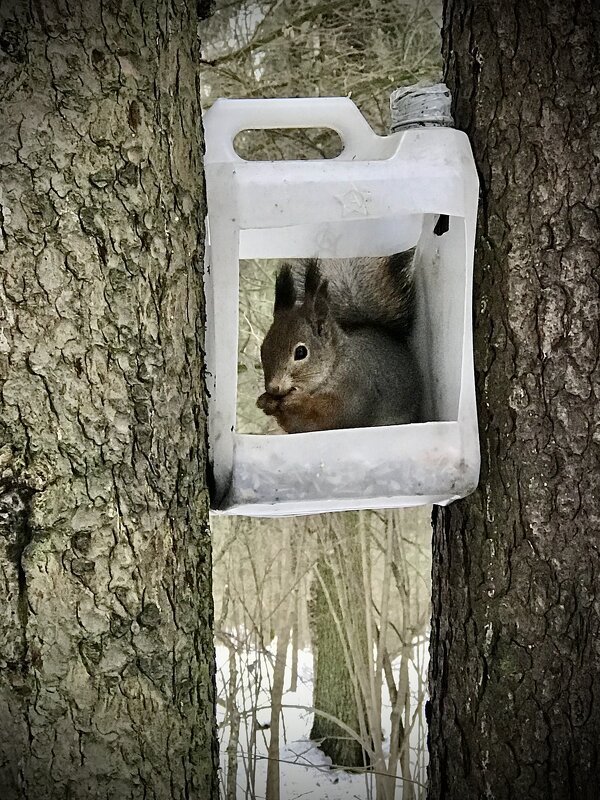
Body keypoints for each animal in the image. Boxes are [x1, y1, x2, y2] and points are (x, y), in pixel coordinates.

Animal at [256, 252, 422, 434]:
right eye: (263, 349)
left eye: (300, 352)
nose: (273, 388)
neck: (336, 362)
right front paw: (266, 401)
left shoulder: (355, 386)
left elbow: (332, 414)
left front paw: (297, 400)